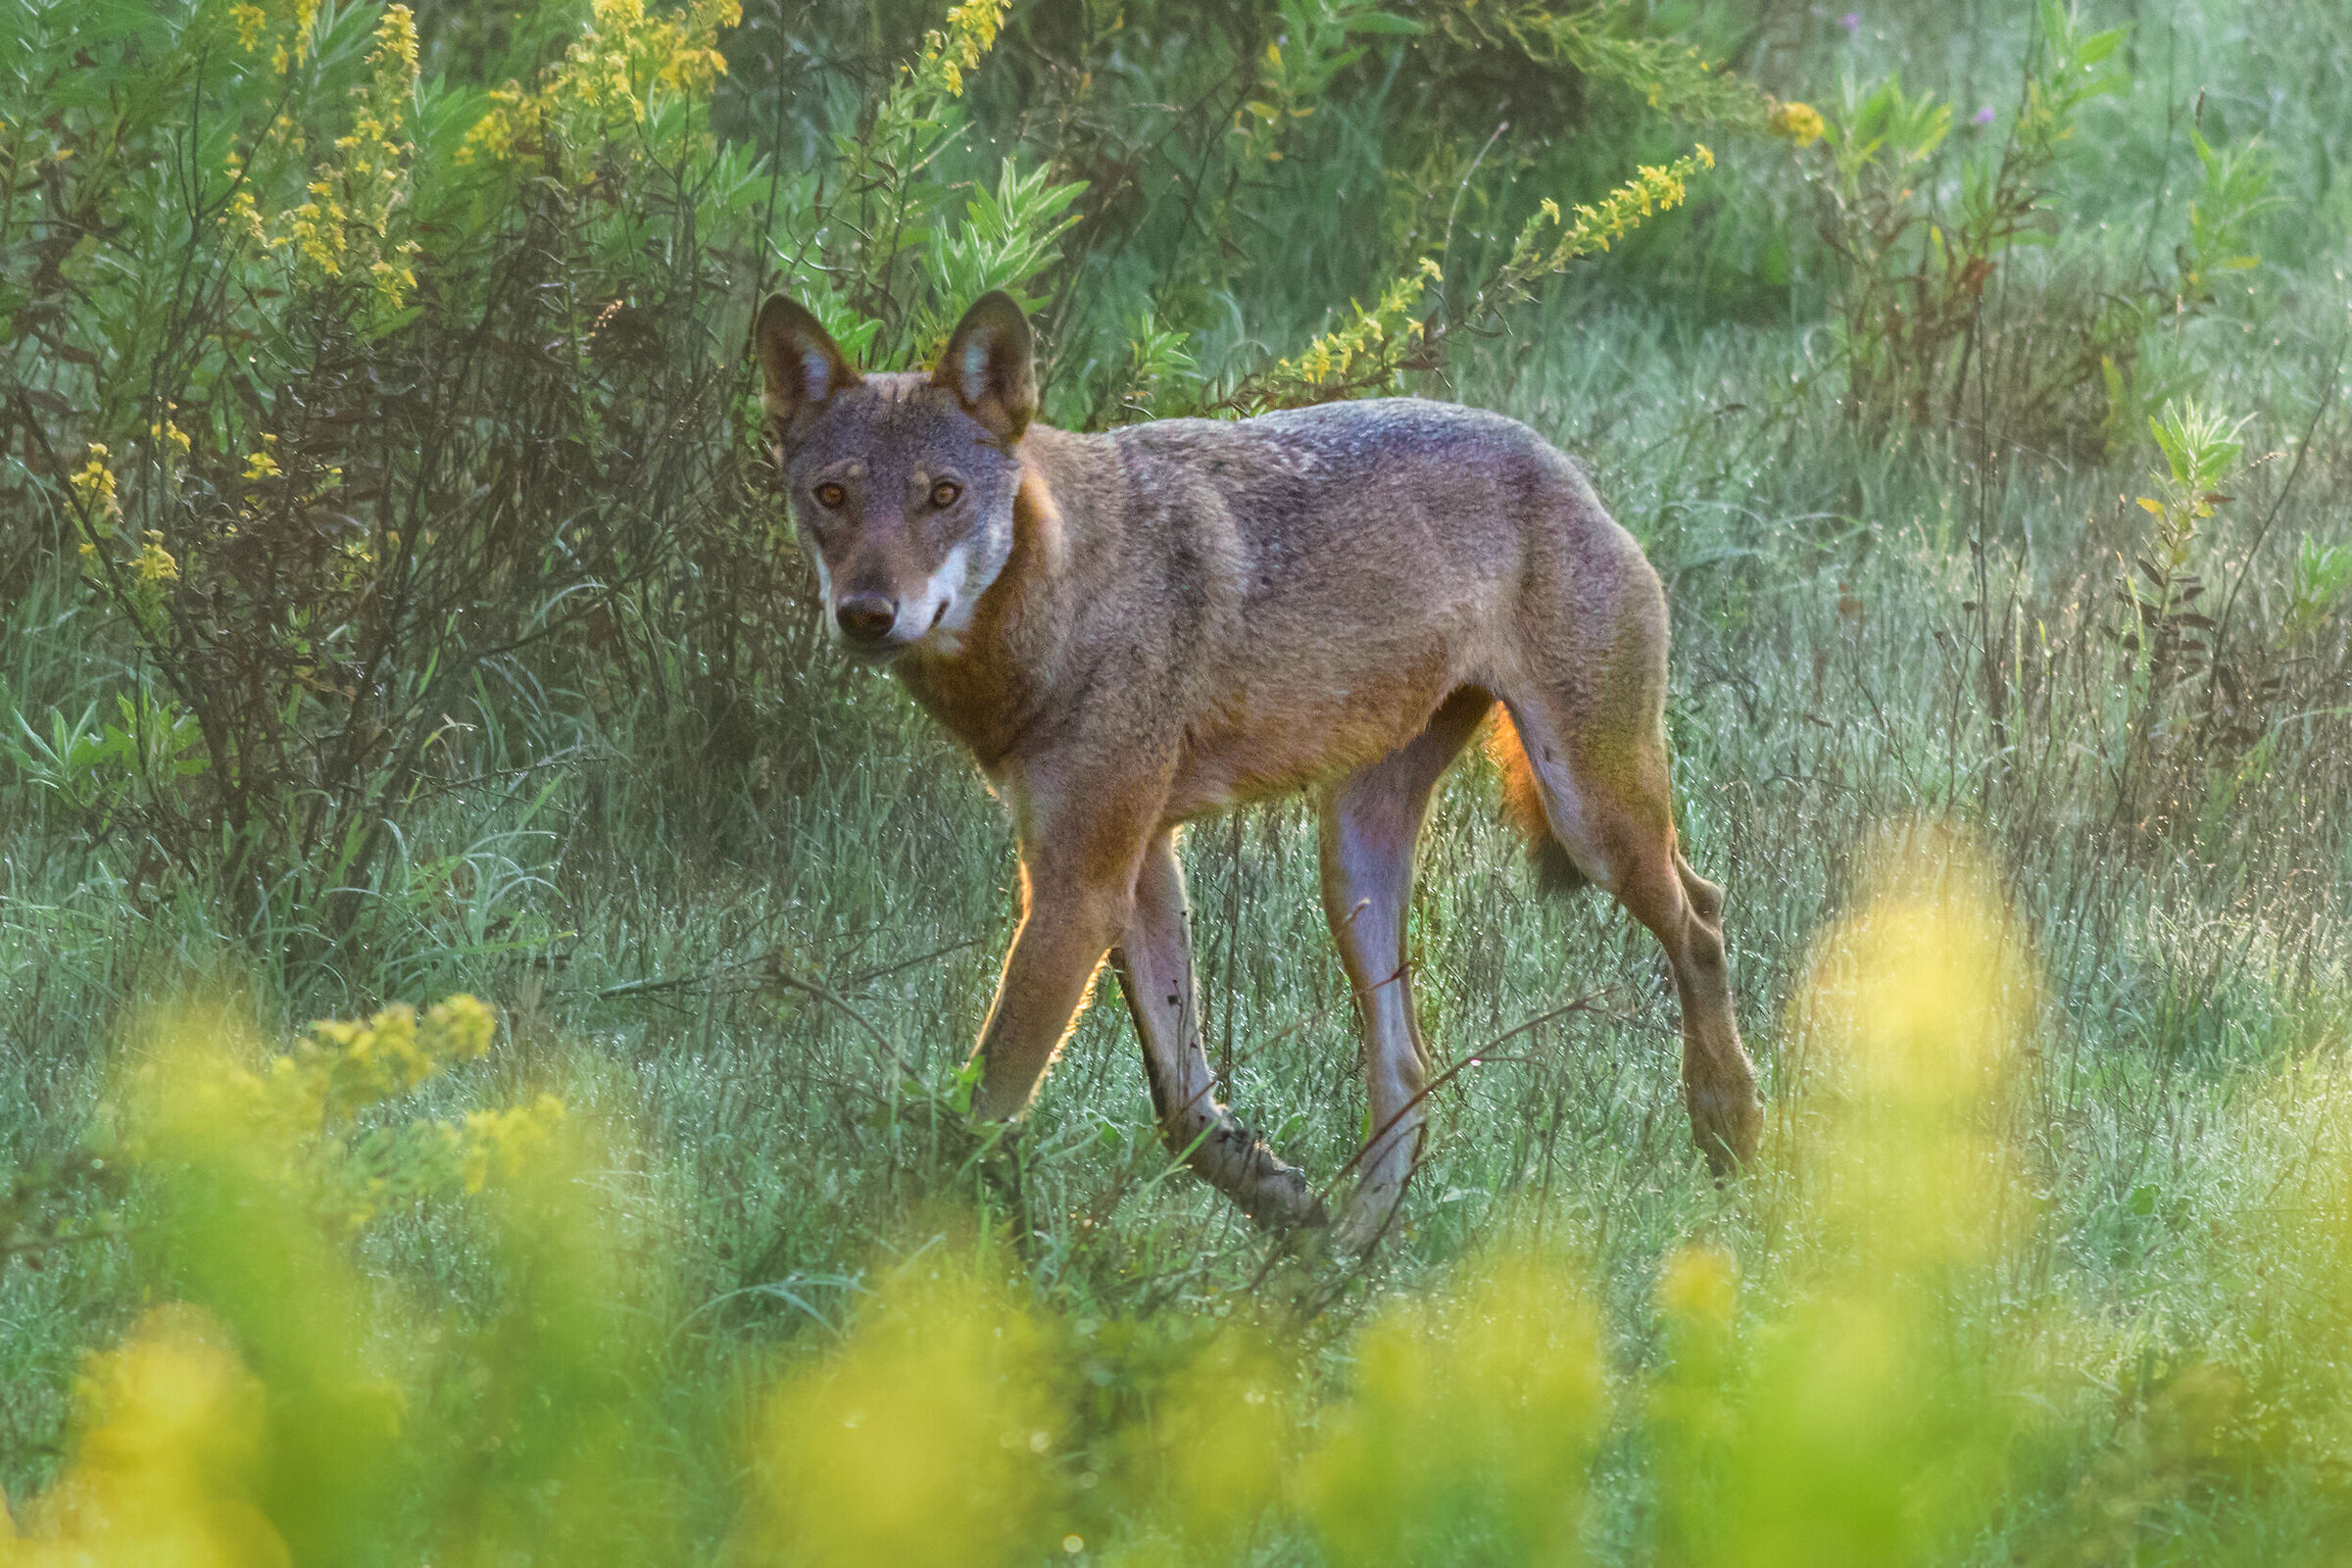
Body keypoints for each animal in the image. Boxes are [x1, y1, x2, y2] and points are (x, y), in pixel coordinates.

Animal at [754, 289, 1762, 1249]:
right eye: (833, 496)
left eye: (943, 495)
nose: (867, 613)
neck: (1062, 600)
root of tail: (1560, 461)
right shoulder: (1135, 869)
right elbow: (1182, 1106)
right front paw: (1278, 1197)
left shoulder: (1079, 889)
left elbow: (983, 1110)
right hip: (1353, 873)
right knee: (1410, 1070)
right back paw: (1339, 1259)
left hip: (1592, 821)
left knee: (1703, 916)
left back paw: (1730, 1124)